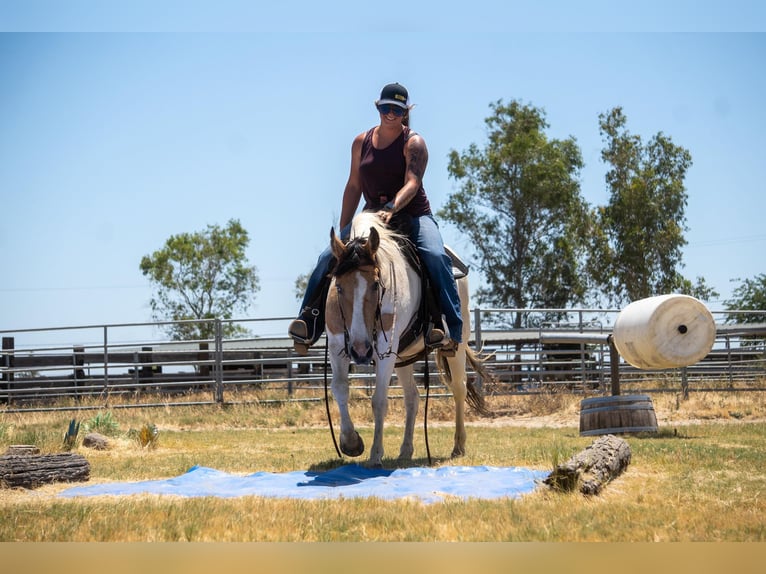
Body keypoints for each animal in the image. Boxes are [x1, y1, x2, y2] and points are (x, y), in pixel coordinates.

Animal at [324, 211, 492, 467]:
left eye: (376, 284)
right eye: (340, 288)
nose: (361, 351)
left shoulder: (385, 347)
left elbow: (379, 400)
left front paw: (375, 454)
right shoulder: (337, 346)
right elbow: (340, 388)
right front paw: (351, 442)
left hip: (456, 343)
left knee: (459, 388)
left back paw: (458, 446)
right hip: (402, 356)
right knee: (413, 397)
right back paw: (405, 450)